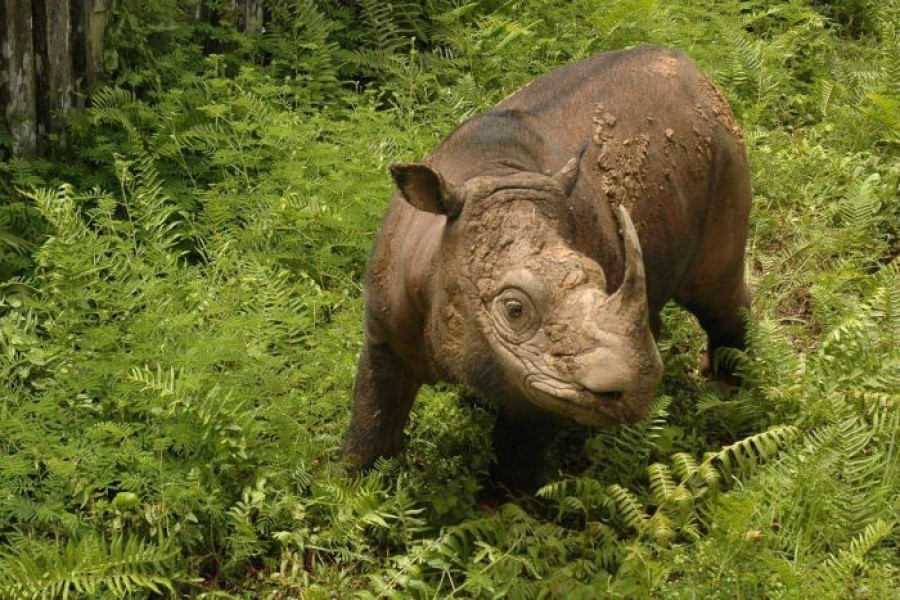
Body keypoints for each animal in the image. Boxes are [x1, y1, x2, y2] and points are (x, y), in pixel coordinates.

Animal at [343, 46, 752, 490]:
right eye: (514, 309)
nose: (637, 388)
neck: (493, 174)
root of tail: (690, 68)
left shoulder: (541, 380)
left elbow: (516, 458)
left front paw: (499, 504)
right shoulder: (383, 332)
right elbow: (371, 423)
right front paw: (354, 487)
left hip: (722, 145)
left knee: (714, 291)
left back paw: (726, 391)